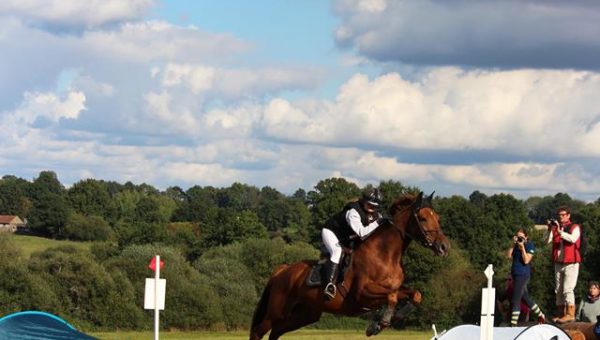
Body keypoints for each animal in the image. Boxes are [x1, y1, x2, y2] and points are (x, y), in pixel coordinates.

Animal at [248, 193, 450, 338]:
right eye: (422, 218)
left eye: (438, 218)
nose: (444, 247)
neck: (385, 255)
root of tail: (282, 270)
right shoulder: (362, 294)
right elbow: (391, 297)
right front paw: (378, 324)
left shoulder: (393, 289)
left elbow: (415, 294)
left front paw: (394, 317)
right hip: (277, 310)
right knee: (259, 331)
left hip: (304, 314)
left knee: (276, 332)